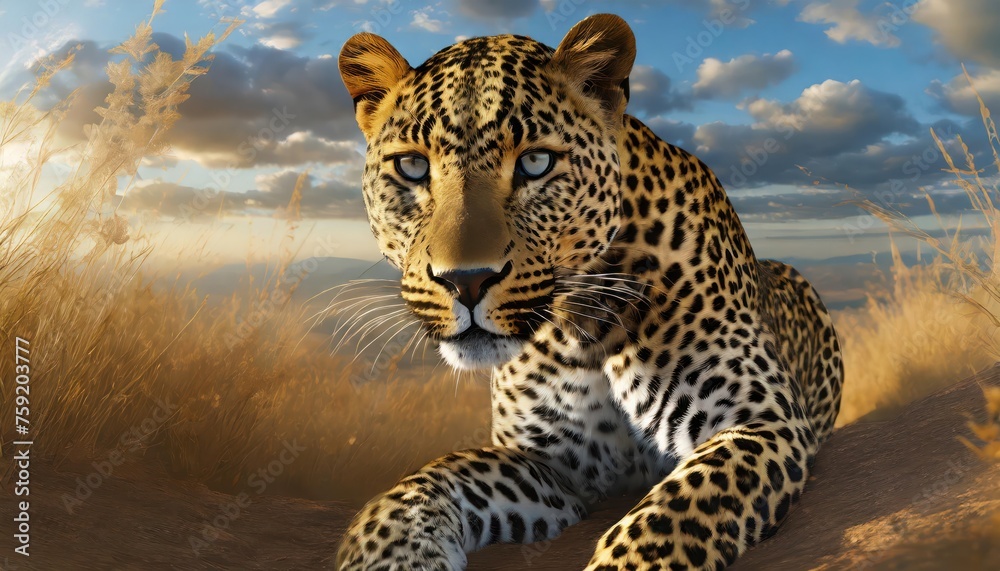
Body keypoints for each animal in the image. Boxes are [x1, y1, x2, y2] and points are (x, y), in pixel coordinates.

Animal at [335, 13, 842, 570]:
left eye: (535, 163)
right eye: (412, 167)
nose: (465, 280)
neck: (581, 327)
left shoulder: (761, 420)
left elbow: (670, 520)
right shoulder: (552, 470)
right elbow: (432, 478)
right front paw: (390, 551)